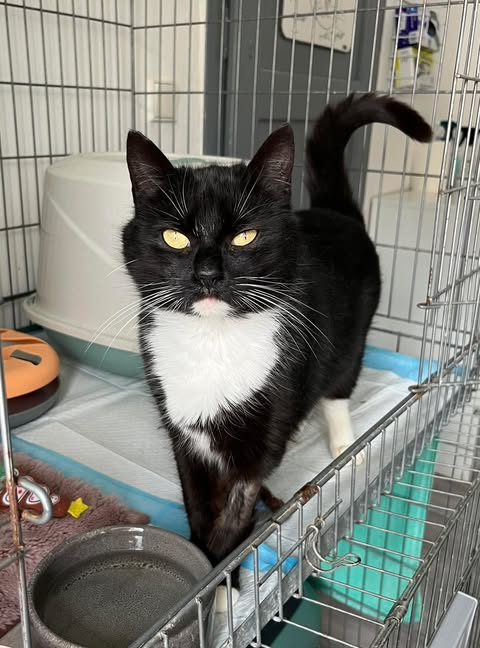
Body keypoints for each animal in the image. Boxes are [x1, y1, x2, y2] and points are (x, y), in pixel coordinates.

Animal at [122, 93, 432, 586]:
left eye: (245, 236)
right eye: (174, 237)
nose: (207, 274)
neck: (212, 340)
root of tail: (335, 211)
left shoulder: (262, 434)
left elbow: (235, 516)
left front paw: (222, 582)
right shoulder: (183, 433)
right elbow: (198, 506)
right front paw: (202, 564)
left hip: (354, 335)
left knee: (339, 384)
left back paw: (345, 445)